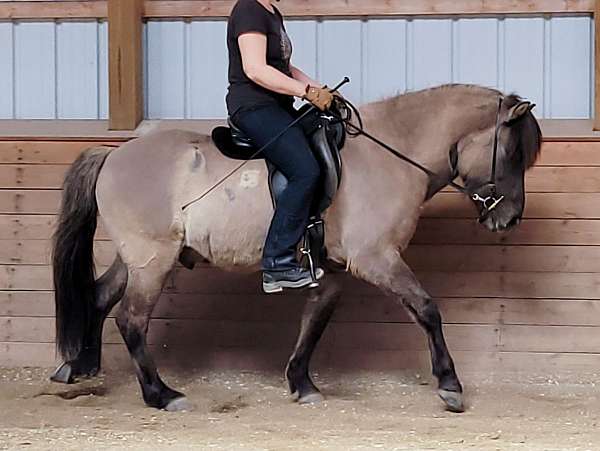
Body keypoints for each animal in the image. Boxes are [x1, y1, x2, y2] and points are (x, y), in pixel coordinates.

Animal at [49, 84, 540, 414]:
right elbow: (426, 309)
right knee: (130, 319)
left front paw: (302, 384)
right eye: (513, 153)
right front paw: (450, 385)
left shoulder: (333, 269)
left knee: (98, 296)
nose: (509, 219)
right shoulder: (377, 259)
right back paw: (161, 394)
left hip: (135, 258)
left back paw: (79, 366)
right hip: (153, 261)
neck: (391, 154)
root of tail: (114, 153)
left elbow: (315, 322)